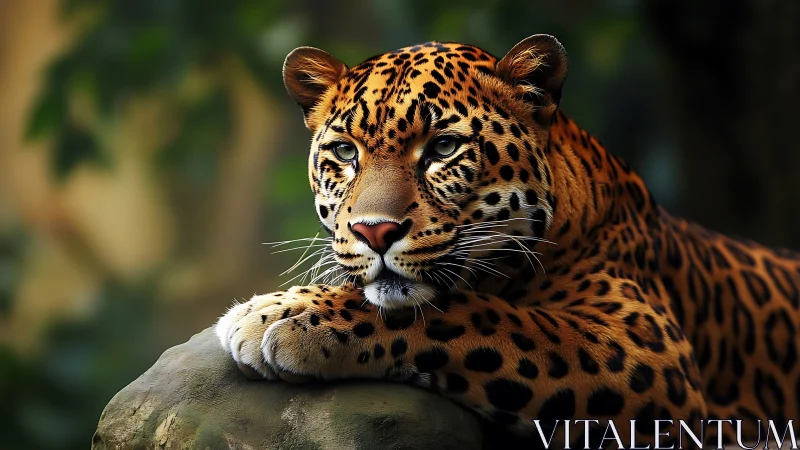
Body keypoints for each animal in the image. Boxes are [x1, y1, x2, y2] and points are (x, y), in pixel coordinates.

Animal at [216, 34, 800, 446]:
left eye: (443, 148)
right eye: (344, 152)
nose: (373, 231)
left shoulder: (651, 354)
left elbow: (477, 314)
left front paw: (284, 315)